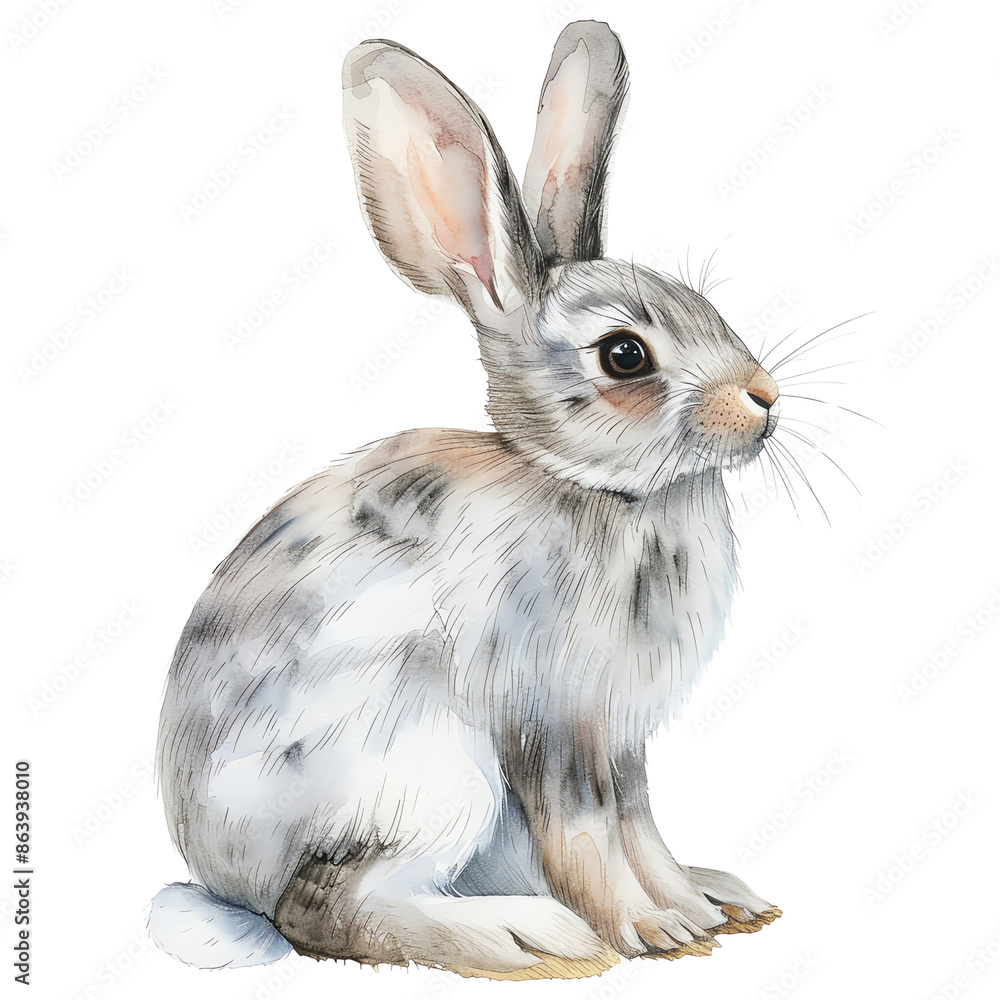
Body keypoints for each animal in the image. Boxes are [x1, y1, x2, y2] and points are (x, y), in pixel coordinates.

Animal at [150, 20, 784, 981]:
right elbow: (589, 836)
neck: (601, 489)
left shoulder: (622, 739)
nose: (764, 399)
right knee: (323, 910)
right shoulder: (552, 722)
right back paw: (521, 935)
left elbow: (641, 828)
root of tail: (225, 884)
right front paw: (651, 930)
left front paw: (690, 907)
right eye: (625, 355)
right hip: (433, 773)